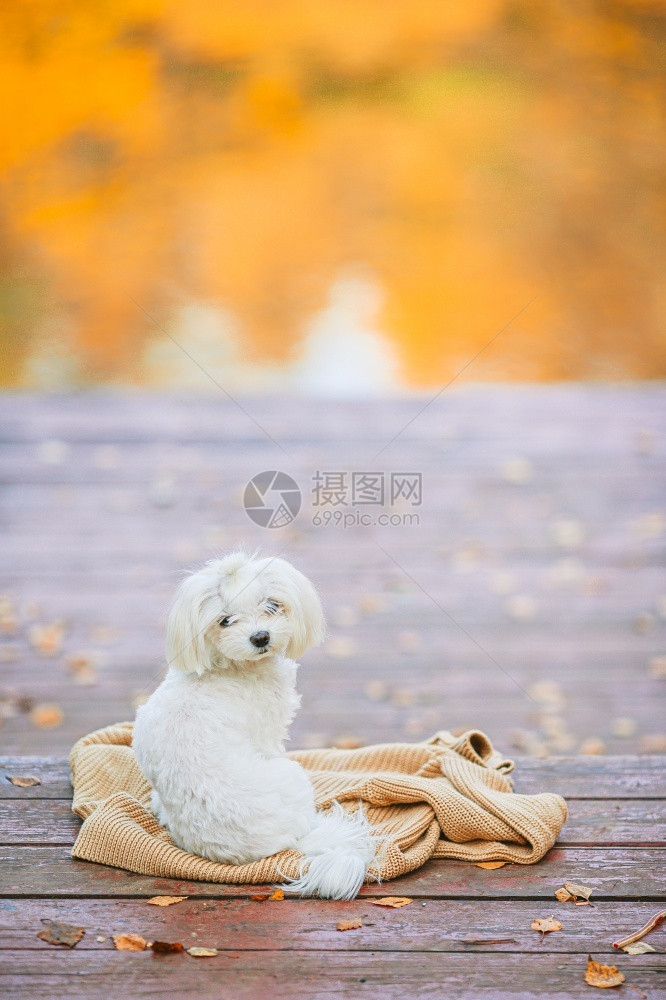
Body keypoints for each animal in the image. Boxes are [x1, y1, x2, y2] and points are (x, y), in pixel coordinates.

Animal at [132, 552, 376, 904]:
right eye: (224, 620)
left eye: (272, 605)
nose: (260, 636)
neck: (227, 667)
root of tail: (289, 843)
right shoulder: (269, 734)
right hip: (292, 776)